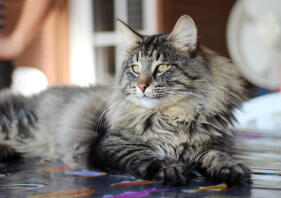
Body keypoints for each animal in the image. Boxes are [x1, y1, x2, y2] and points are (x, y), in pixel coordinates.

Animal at [0, 15, 249, 186]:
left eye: (162, 67)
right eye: (135, 68)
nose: (142, 86)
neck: (172, 117)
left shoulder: (209, 144)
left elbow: (217, 156)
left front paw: (231, 169)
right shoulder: (110, 146)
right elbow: (147, 155)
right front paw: (172, 169)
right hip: (18, 124)